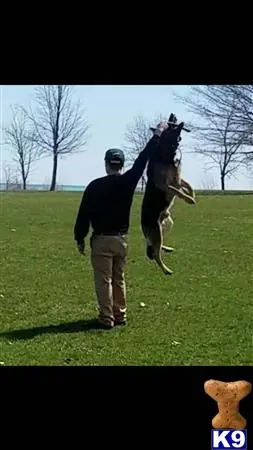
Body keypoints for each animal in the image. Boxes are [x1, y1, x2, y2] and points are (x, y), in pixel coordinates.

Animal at [141, 113, 195, 274]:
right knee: (155, 253)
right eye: (171, 121)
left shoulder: (178, 178)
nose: (173, 115)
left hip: (167, 224)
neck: (167, 148)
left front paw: (191, 196)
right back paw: (166, 270)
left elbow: (188, 185)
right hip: (157, 231)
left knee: (154, 247)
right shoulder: (165, 184)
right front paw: (189, 199)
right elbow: (177, 191)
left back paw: (166, 248)